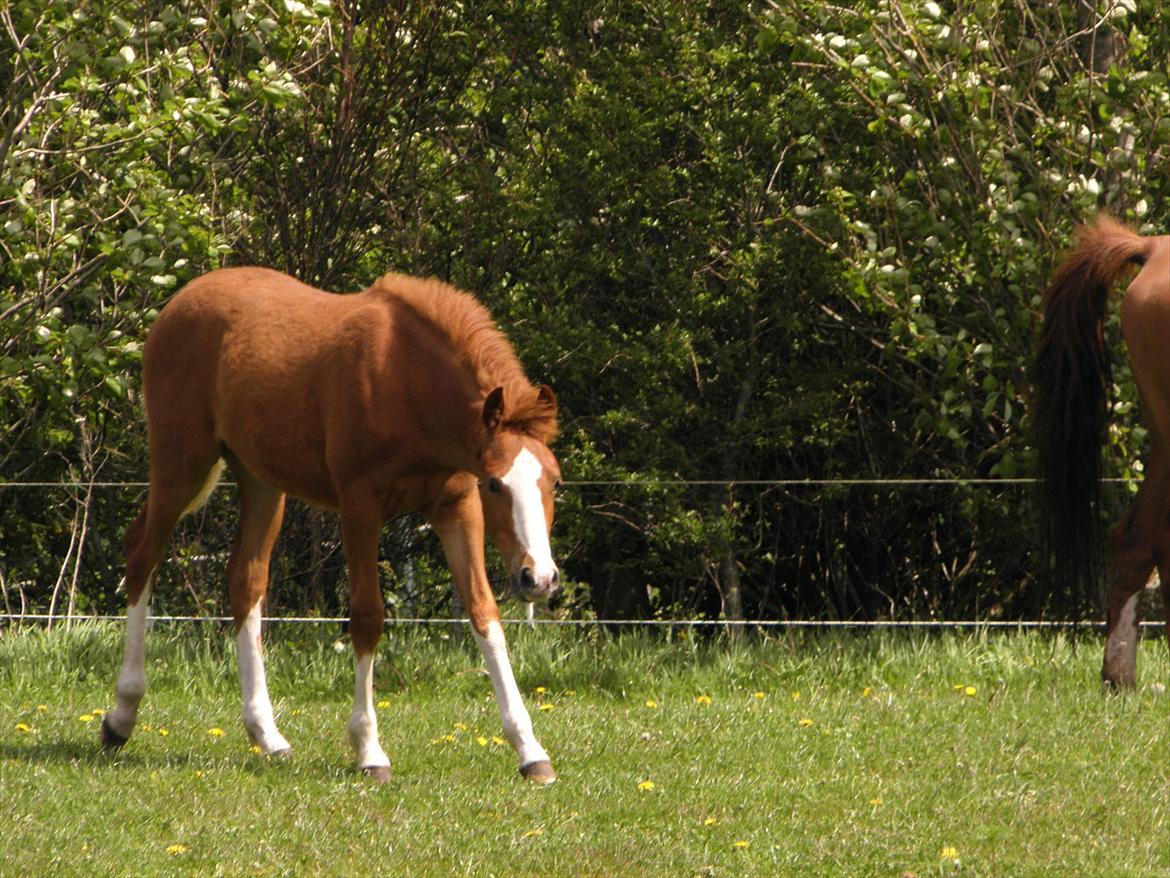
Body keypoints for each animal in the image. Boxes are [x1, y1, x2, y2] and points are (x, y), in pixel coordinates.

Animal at [98, 268, 563, 782]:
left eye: (555, 481)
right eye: (497, 484)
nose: (540, 578)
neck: (406, 381)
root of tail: (178, 302)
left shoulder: (456, 506)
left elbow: (484, 614)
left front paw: (530, 750)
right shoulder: (360, 507)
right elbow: (367, 617)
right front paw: (369, 749)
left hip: (261, 480)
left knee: (245, 578)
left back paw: (267, 734)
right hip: (182, 464)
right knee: (143, 554)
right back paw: (121, 716)